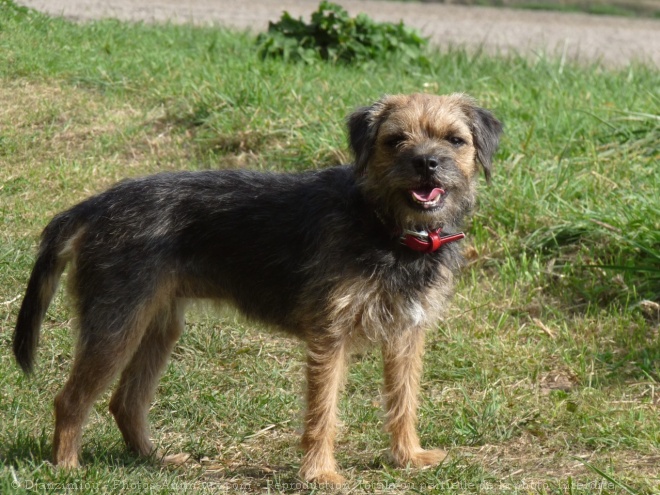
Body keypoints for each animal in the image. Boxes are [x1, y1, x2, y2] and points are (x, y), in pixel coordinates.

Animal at [12, 92, 500, 484]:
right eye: (395, 140)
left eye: (454, 140)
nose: (426, 163)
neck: (387, 227)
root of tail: (94, 206)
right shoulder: (330, 336)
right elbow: (323, 411)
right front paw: (320, 474)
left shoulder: (406, 334)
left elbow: (404, 400)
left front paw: (408, 457)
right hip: (115, 325)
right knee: (71, 399)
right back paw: (68, 469)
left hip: (157, 327)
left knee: (126, 402)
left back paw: (154, 459)